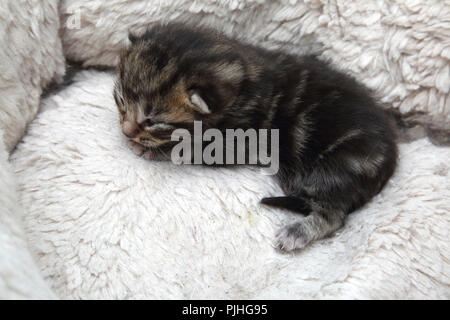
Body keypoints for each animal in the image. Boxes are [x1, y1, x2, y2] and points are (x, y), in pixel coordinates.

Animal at [113, 23, 398, 251]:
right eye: (122, 100)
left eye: (153, 121)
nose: (126, 130)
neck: (243, 81)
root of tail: (391, 160)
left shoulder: (238, 142)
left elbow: (190, 148)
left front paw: (154, 149)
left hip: (337, 167)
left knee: (335, 215)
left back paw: (297, 232)